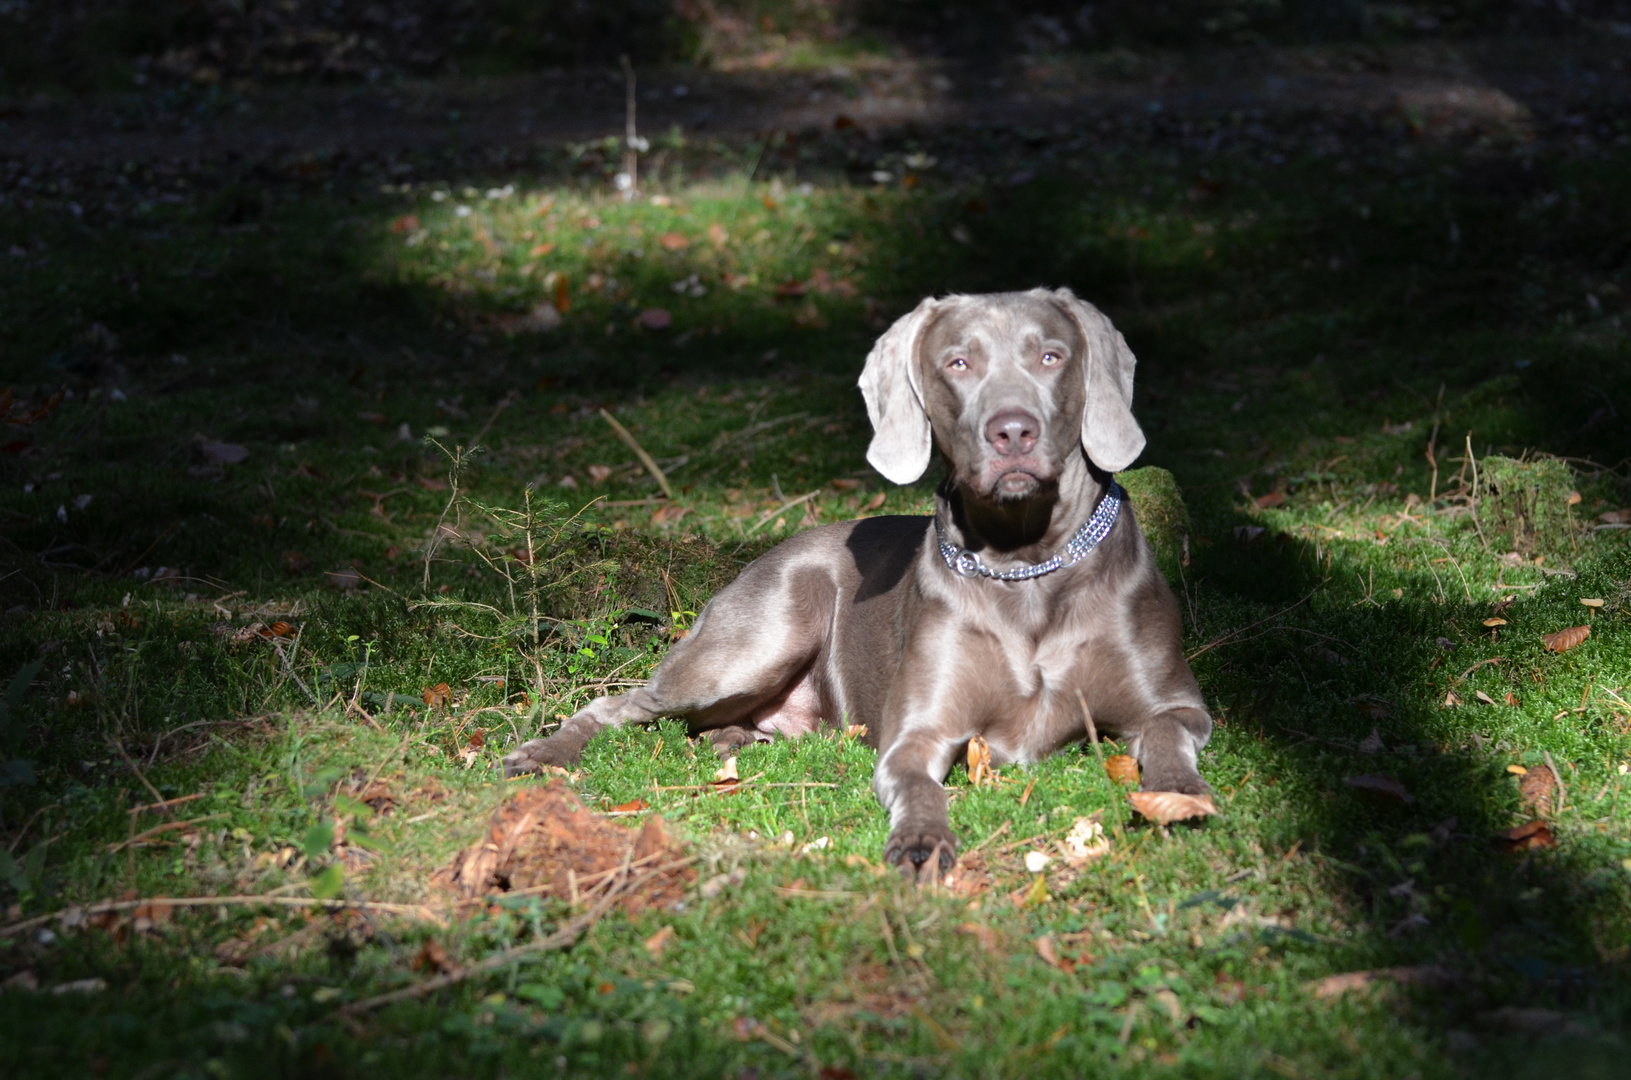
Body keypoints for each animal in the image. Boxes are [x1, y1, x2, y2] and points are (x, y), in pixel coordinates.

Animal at [505, 287, 1213, 880]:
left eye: (1050, 356)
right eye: (958, 363)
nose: (1012, 430)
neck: (1025, 567)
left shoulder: (1178, 704)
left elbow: (1168, 735)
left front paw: (1180, 795)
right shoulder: (915, 733)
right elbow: (920, 785)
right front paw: (922, 840)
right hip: (765, 632)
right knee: (620, 704)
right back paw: (542, 754)